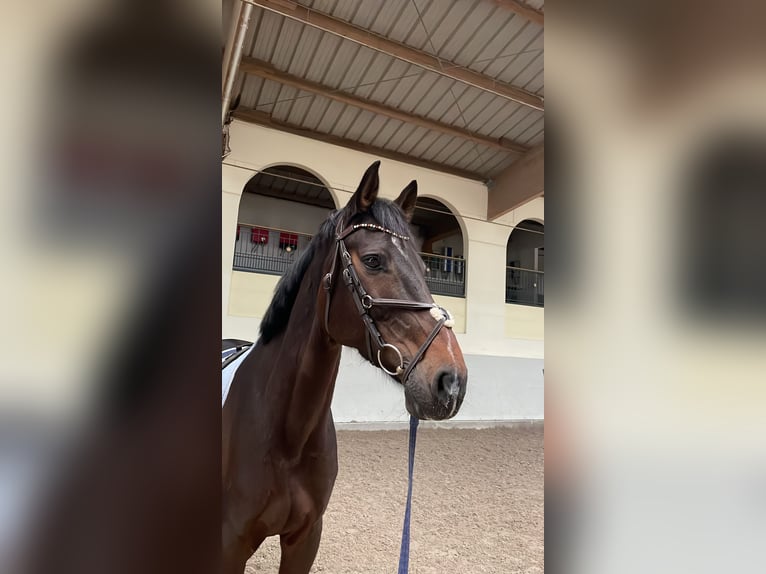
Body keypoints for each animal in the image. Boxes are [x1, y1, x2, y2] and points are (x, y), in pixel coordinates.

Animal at [221, 161, 468, 574]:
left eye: (424, 267)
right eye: (373, 260)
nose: (451, 381)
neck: (287, 435)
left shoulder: (305, 539)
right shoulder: (231, 544)